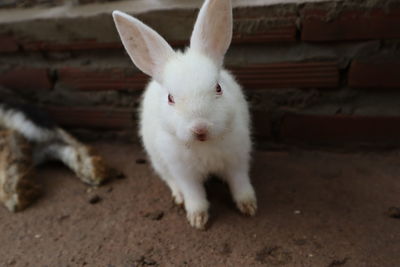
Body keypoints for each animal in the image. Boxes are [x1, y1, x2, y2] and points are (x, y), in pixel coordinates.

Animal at [112, 0, 256, 230]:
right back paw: (178, 197)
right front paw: (198, 219)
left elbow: (240, 183)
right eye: (170, 98)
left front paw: (249, 207)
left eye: (218, 88)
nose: (200, 127)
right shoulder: (184, 172)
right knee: (170, 180)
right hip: (159, 162)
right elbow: (194, 194)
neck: (203, 145)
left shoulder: (237, 160)